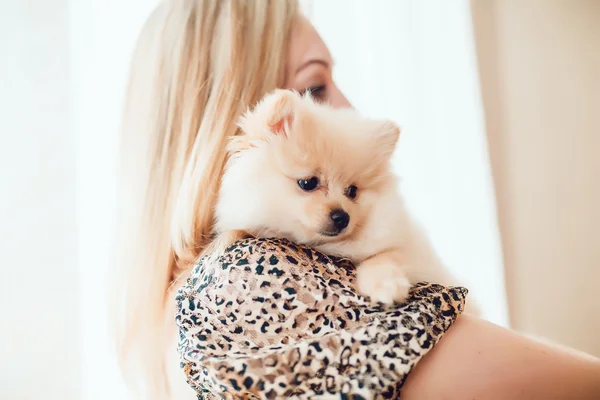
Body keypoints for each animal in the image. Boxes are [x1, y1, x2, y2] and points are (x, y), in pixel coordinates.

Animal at [214, 89, 464, 304]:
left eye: (352, 191)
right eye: (308, 183)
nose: (342, 217)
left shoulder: (406, 247)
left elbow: (384, 256)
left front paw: (386, 285)